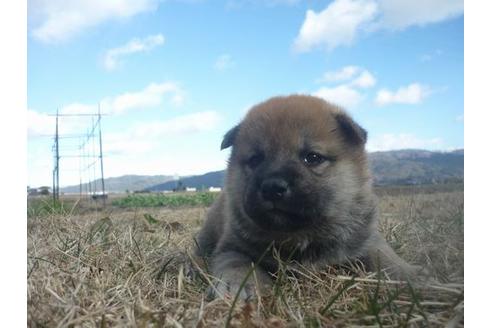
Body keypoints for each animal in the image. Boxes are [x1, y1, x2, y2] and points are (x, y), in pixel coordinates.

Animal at [194, 95, 424, 300]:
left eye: (312, 158)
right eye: (255, 160)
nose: (272, 187)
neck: (301, 236)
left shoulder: (365, 238)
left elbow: (383, 255)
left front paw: (410, 276)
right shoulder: (232, 246)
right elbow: (238, 263)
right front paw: (236, 286)